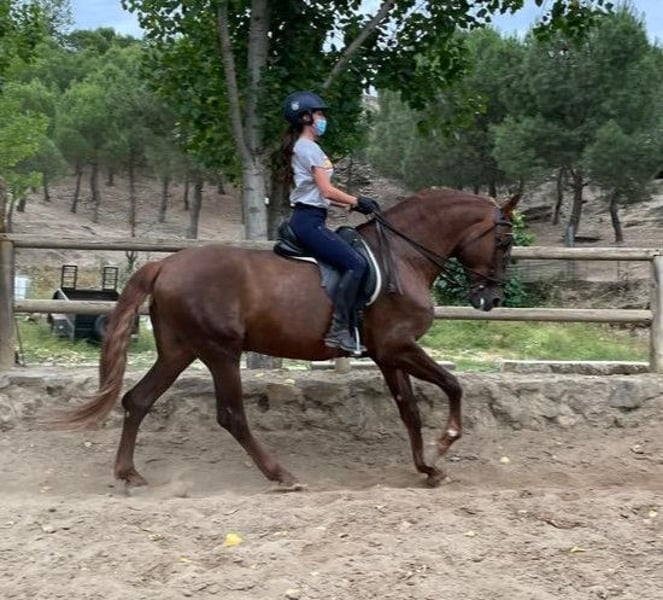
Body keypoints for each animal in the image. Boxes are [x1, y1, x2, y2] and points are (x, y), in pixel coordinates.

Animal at [56, 187, 516, 488]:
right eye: (504, 241)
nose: (491, 298)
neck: (403, 257)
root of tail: (164, 265)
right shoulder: (398, 347)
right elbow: (453, 384)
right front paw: (446, 442)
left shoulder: (388, 355)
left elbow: (410, 411)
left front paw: (427, 468)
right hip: (221, 351)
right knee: (231, 416)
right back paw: (281, 475)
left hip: (179, 351)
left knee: (138, 400)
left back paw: (128, 473)